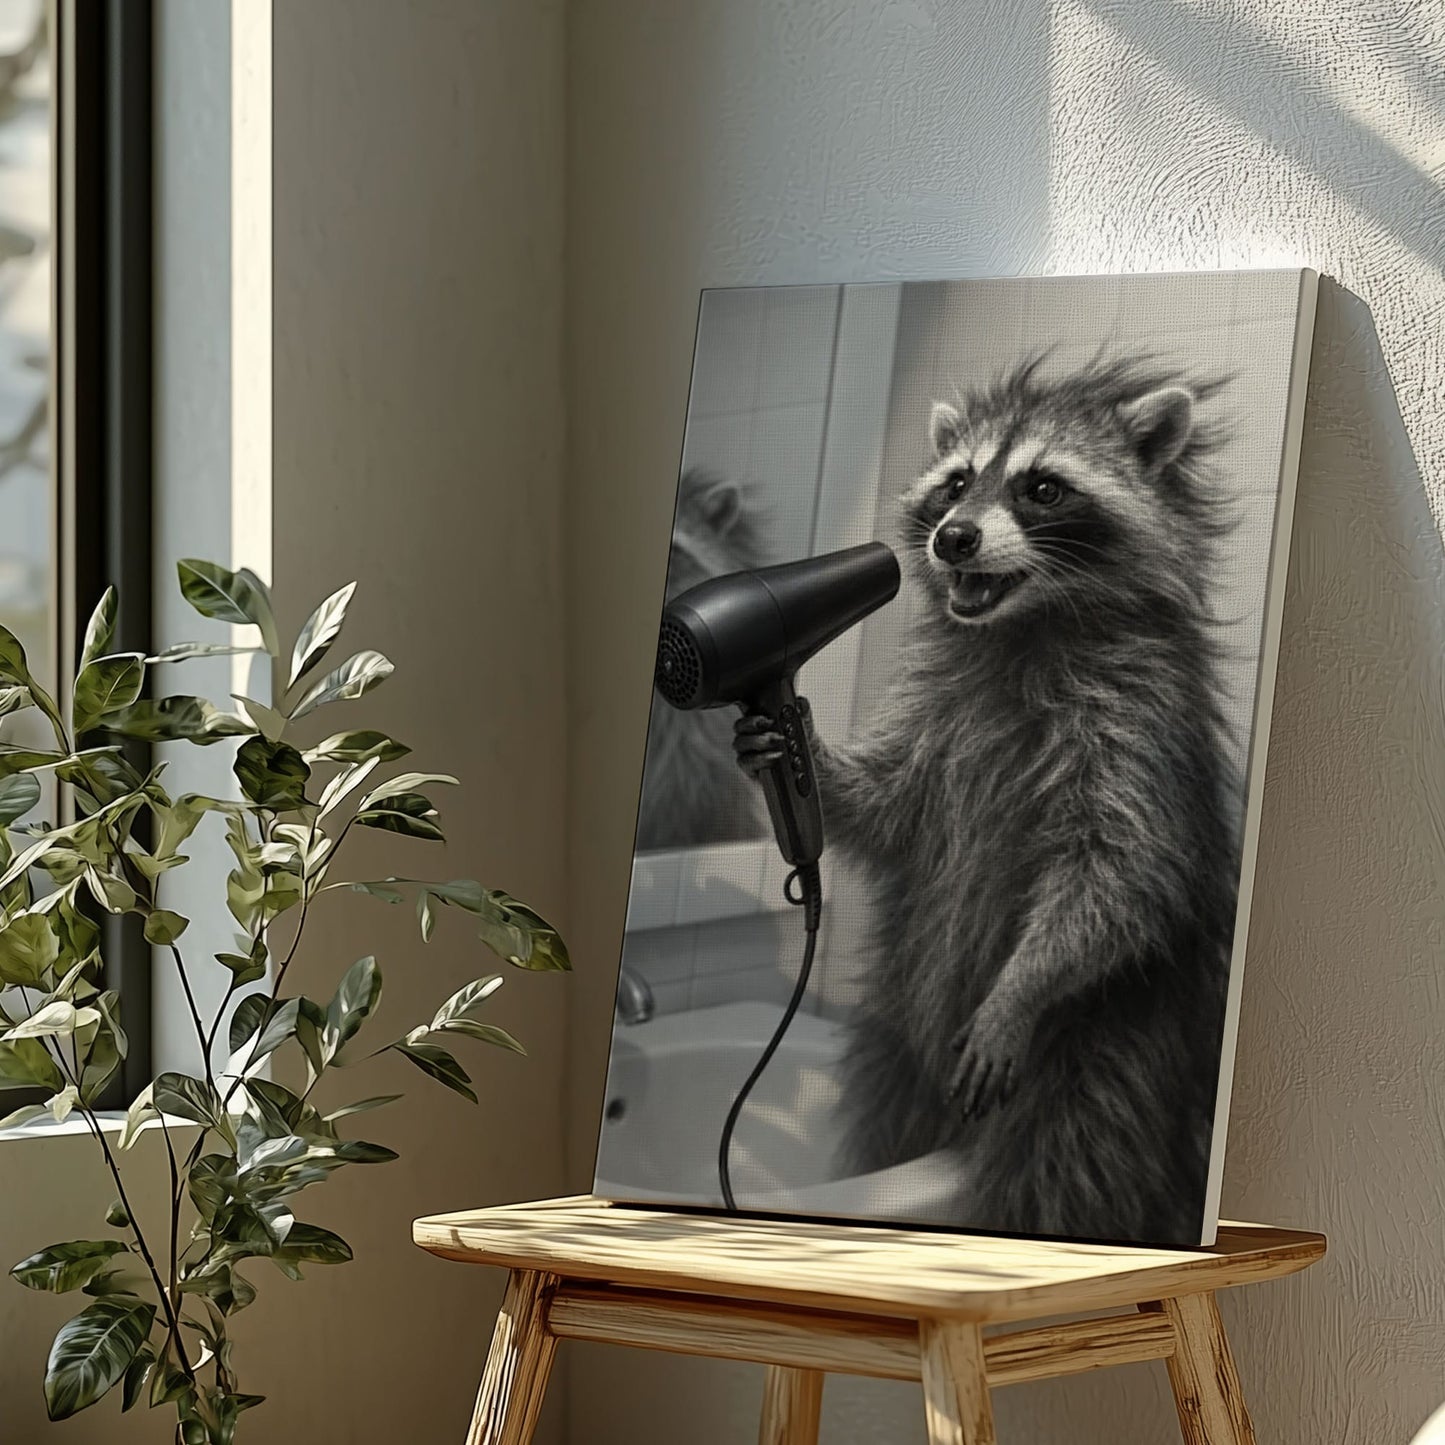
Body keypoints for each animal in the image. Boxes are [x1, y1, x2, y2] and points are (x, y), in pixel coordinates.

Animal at [736, 356, 1241, 1244]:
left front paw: (1023, 985)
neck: (1020, 624)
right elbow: (889, 809)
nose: (953, 538)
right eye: (956, 482)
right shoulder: (939, 708)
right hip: (900, 1044)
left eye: (1042, 486)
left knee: (1065, 1170)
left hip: (1102, 1060)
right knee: (891, 1116)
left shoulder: (1137, 722)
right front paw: (802, 752)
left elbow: (1118, 874)